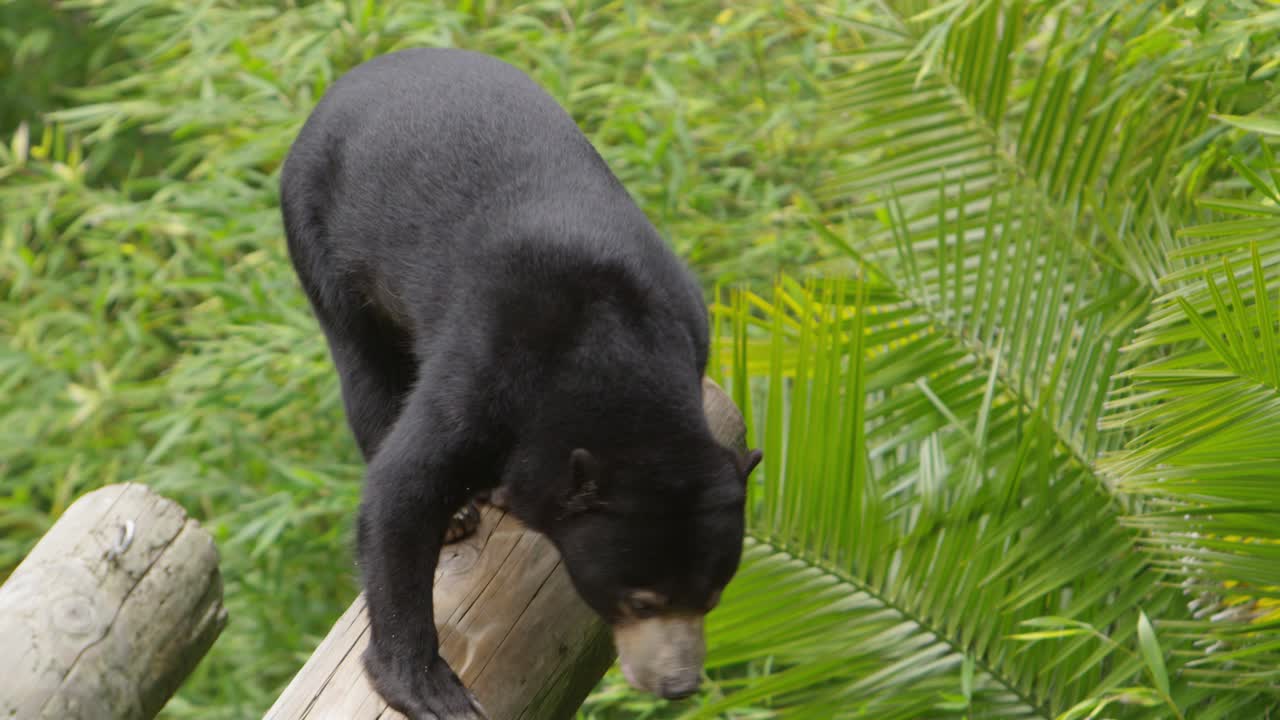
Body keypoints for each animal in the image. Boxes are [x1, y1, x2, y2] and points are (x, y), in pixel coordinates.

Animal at [280, 48, 762, 720]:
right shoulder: (487, 373)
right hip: (322, 238)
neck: (611, 348)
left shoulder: (690, 326)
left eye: (712, 596)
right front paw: (429, 688)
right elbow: (402, 490)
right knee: (365, 370)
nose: (678, 684)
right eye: (639, 599)